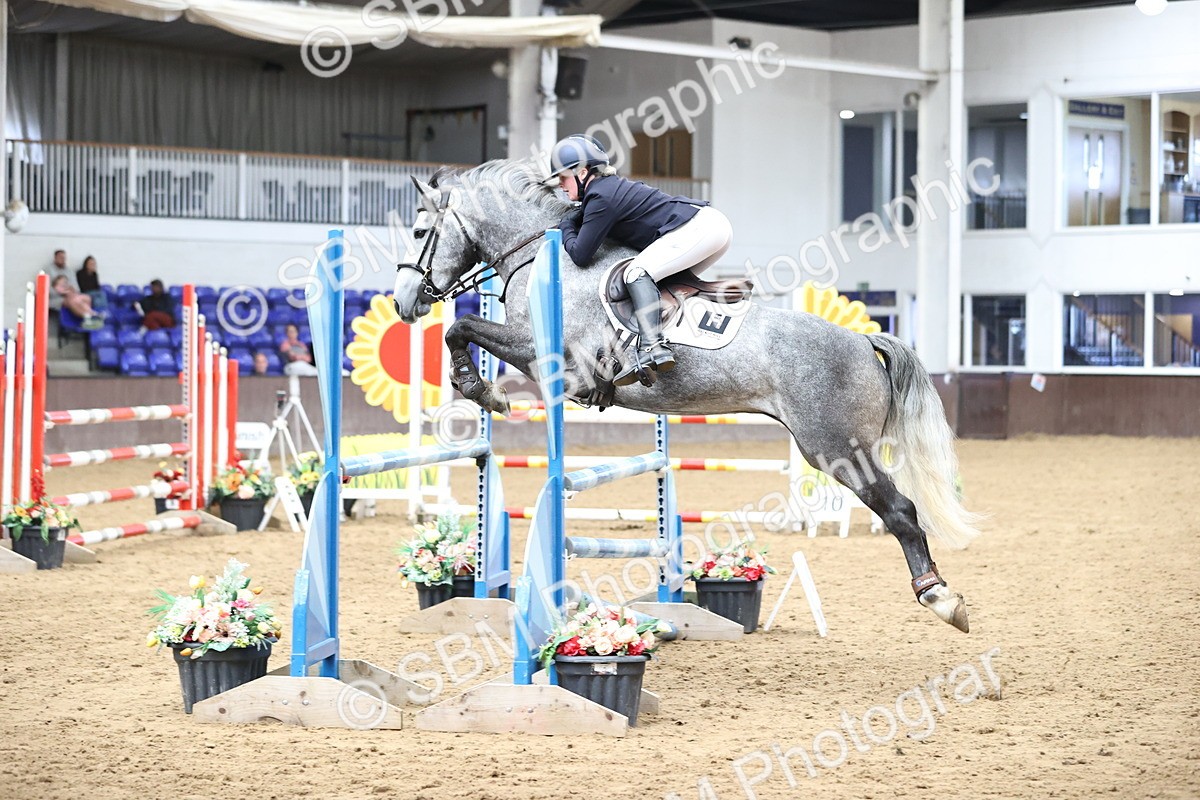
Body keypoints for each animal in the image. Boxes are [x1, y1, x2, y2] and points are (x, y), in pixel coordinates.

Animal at [392, 159, 980, 632]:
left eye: (420, 230)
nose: (403, 302)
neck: (539, 252)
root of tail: (863, 339)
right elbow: (462, 330)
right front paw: (481, 389)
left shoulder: (548, 356)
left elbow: (460, 329)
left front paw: (481, 389)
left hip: (837, 449)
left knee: (900, 510)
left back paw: (941, 598)